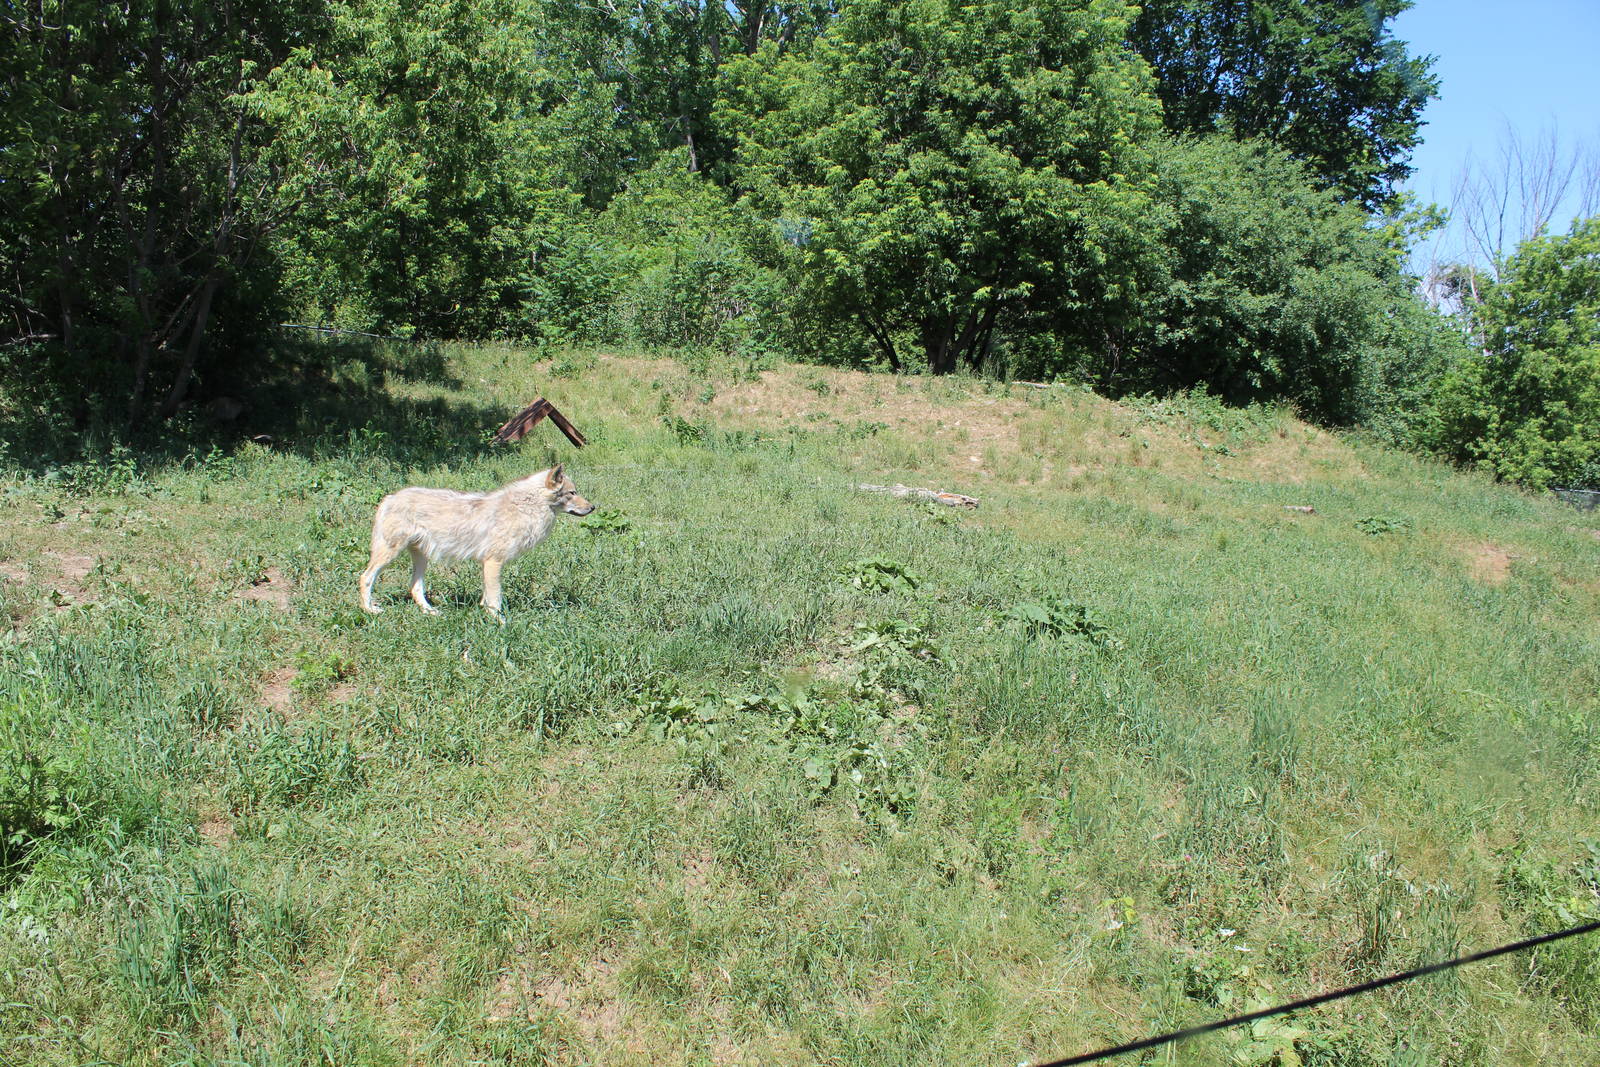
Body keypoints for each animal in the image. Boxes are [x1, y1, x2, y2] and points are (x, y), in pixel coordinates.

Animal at [359, 464, 594, 621]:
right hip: (390, 554)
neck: (525, 508)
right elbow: (495, 600)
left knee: (415, 588)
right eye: (572, 493)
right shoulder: (493, 562)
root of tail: (389, 497)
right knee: (365, 577)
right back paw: (369, 610)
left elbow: (487, 598)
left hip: (421, 558)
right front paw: (500, 624)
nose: (593, 507)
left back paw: (431, 612)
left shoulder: (487, 565)